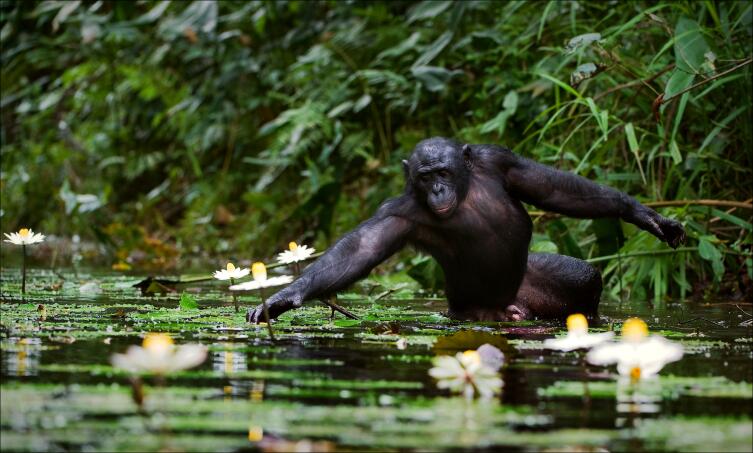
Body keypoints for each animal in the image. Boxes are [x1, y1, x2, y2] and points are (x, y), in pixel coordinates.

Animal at [247, 137, 688, 322]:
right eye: (425, 177)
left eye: (442, 172)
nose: (437, 188)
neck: (465, 191)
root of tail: (514, 306)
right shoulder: (397, 213)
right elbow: (360, 249)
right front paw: (285, 297)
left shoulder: (501, 161)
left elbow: (552, 188)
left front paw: (643, 215)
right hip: (469, 311)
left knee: (584, 275)